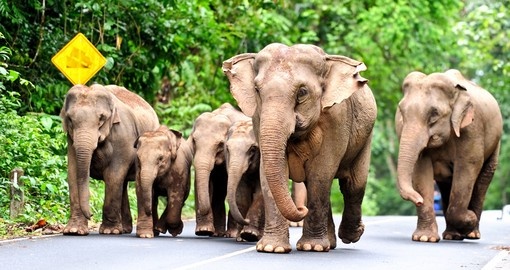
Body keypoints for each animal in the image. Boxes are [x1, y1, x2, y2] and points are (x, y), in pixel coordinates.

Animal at [60, 83, 159, 235]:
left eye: (101, 118)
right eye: (70, 119)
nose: (91, 215)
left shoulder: (123, 136)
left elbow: (113, 175)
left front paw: (109, 231)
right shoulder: (71, 139)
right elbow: (73, 173)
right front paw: (74, 231)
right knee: (123, 184)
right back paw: (125, 229)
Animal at [221, 42, 376, 253]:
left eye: (302, 92)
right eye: (257, 90)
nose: (302, 209)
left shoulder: (337, 119)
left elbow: (320, 173)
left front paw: (312, 247)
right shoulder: (258, 118)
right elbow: (268, 174)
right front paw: (271, 248)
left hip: (366, 138)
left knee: (353, 185)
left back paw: (349, 236)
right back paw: (331, 243)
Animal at [394, 68, 502, 242]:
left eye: (434, 114)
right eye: (402, 112)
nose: (418, 200)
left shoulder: (472, 129)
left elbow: (468, 166)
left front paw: (470, 218)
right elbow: (420, 169)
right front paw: (424, 238)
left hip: (495, 144)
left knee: (482, 181)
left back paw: (472, 234)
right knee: (446, 185)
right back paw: (452, 235)